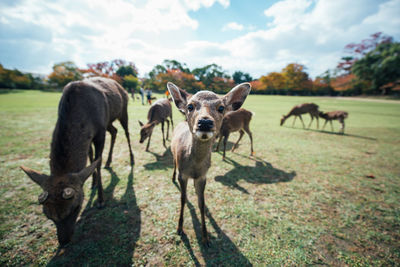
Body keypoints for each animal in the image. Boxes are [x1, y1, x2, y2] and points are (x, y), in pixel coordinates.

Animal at [19, 77, 134, 247]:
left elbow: (97, 161)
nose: (64, 241)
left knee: (125, 132)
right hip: (108, 120)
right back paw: (109, 161)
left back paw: (131, 158)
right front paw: (92, 182)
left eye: (76, 208)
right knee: (114, 131)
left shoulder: (99, 132)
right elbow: (91, 157)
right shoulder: (92, 134)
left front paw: (100, 200)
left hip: (122, 110)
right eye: (47, 214)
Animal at [168, 81, 250, 247]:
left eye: (221, 108)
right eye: (190, 106)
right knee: (173, 164)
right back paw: (172, 177)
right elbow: (182, 199)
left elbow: (201, 202)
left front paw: (205, 237)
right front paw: (179, 229)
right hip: (173, 154)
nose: (205, 122)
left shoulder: (202, 177)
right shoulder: (183, 174)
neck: (194, 167)